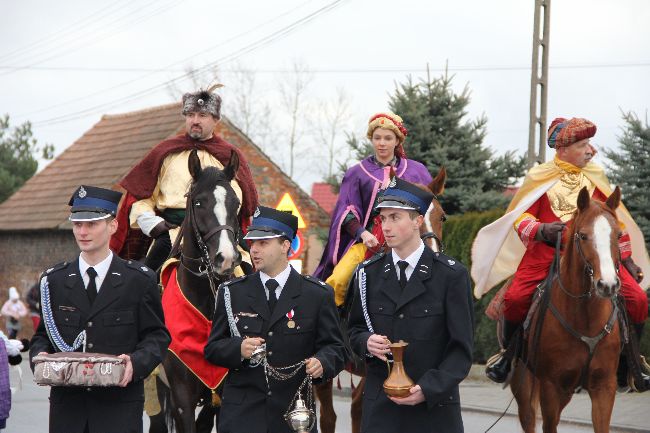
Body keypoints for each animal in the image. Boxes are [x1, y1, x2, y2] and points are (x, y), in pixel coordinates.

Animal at [512, 186, 624, 432]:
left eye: (618, 235)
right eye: (583, 236)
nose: (608, 285)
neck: (584, 317)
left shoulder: (604, 387)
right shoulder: (551, 387)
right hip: (525, 387)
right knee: (529, 419)